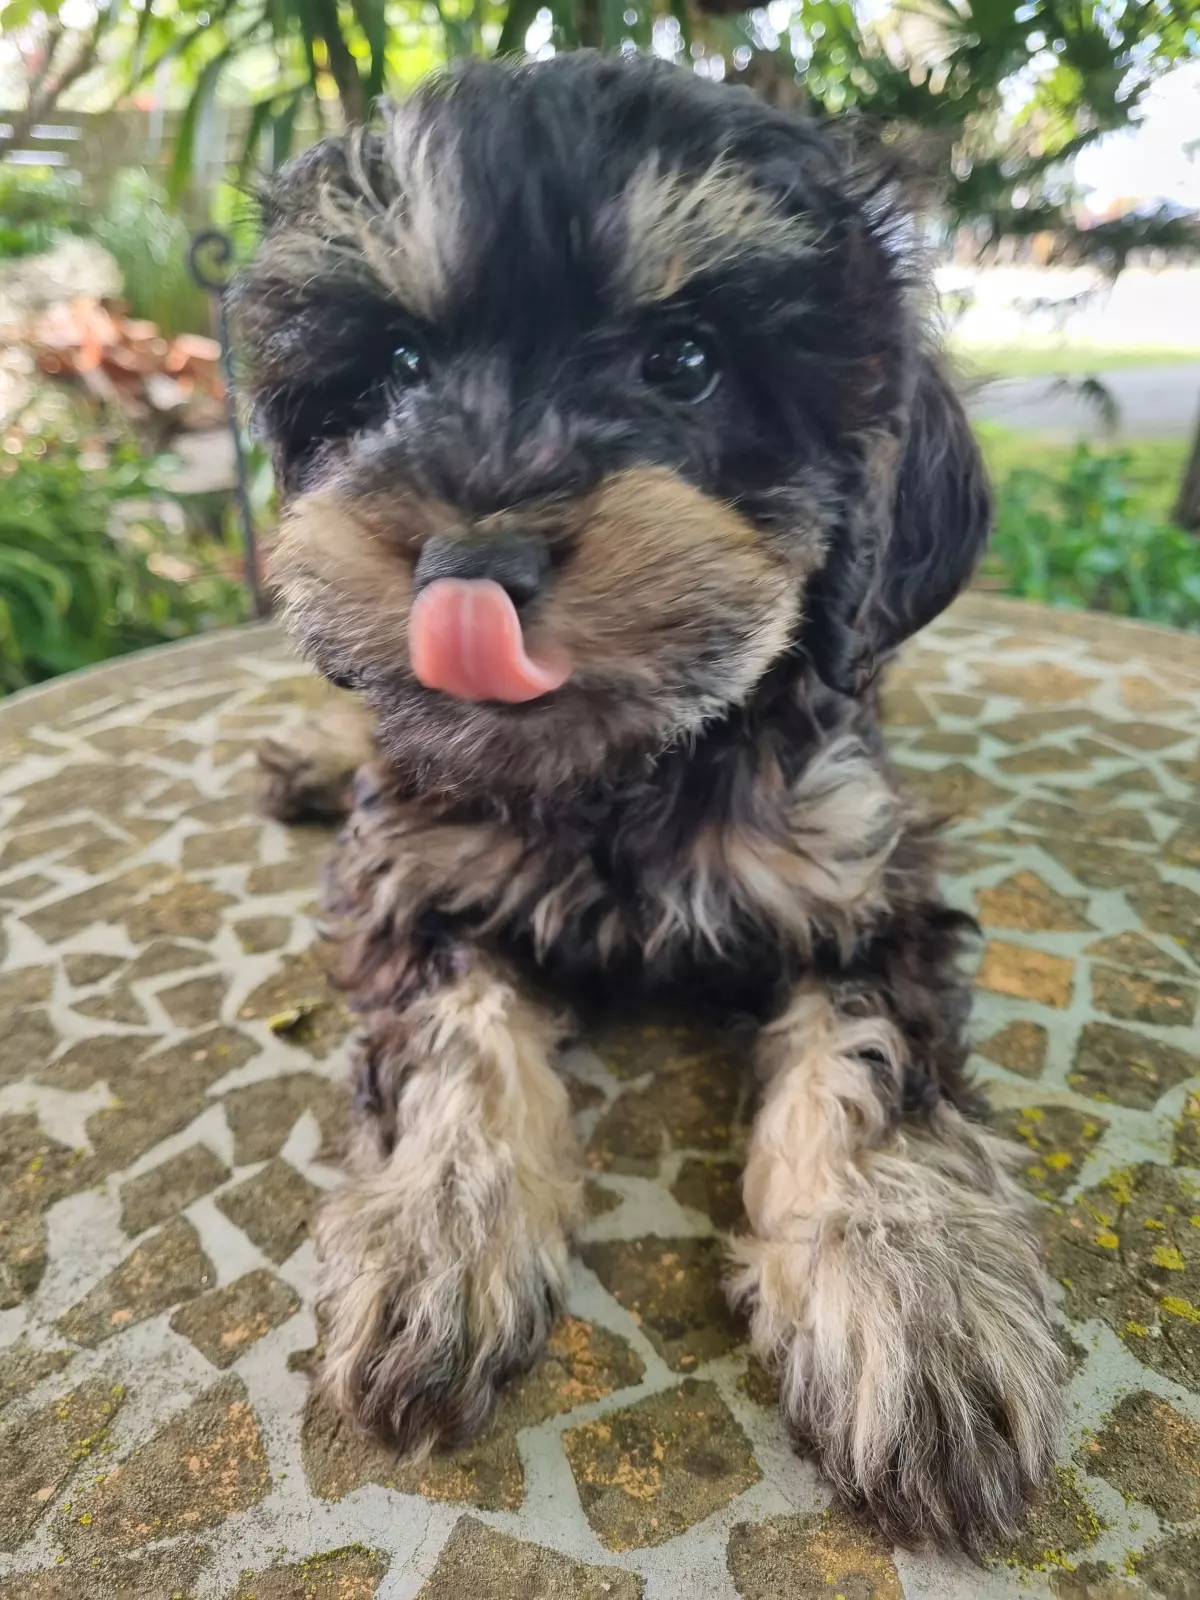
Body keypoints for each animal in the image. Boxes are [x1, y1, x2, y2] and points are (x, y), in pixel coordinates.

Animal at [230, 51, 1065, 1552]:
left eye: (684, 363)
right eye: (397, 371)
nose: (472, 563)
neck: (621, 774)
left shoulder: (866, 877)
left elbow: (873, 1065)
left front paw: (911, 1291)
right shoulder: (413, 873)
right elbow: (457, 1032)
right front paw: (438, 1229)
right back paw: (313, 758)